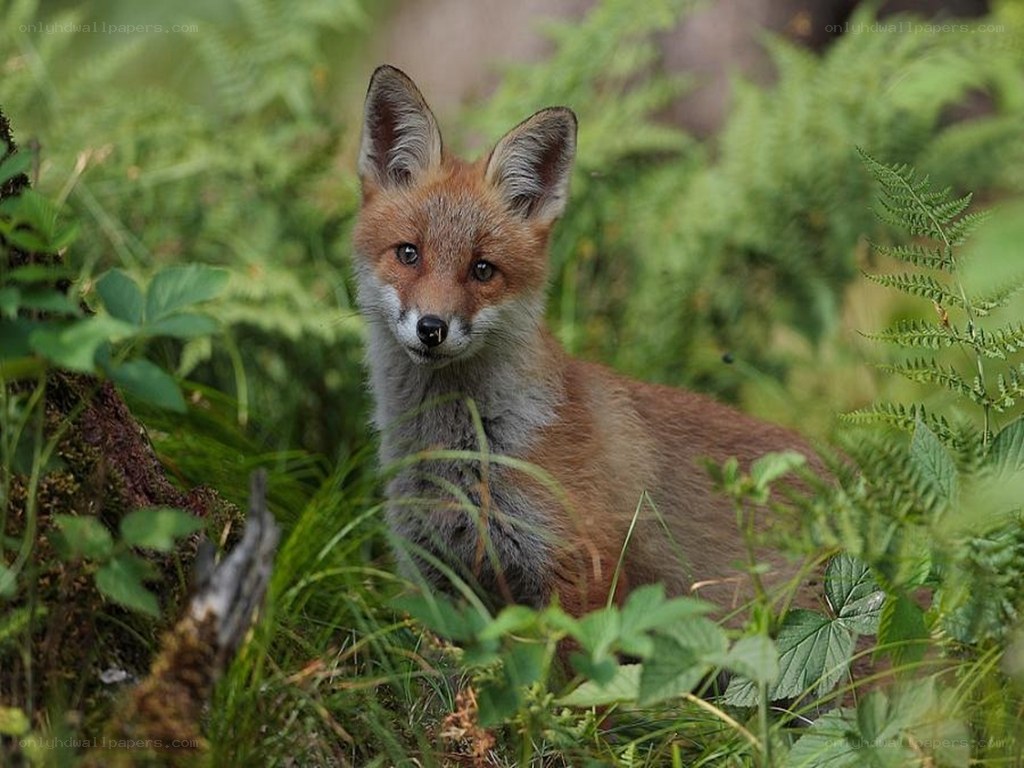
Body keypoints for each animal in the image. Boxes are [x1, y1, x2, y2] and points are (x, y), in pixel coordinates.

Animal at [353, 65, 819, 620]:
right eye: (409, 254)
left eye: (482, 270)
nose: (432, 328)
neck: (462, 455)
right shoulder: (440, 586)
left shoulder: (583, 569)